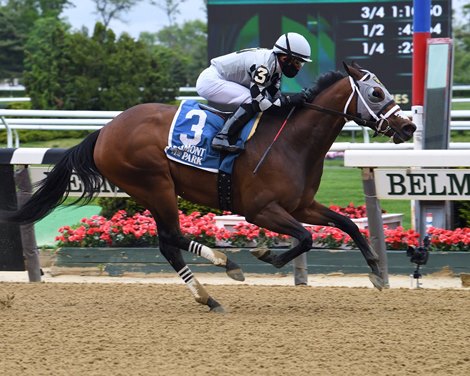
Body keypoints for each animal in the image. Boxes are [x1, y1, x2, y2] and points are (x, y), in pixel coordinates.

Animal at [2, 64, 414, 312]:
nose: (408, 127)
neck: (291, 142)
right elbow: (306, 238)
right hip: (155, 184)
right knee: (171, 237)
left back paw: (208, 294)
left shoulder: (300, 205)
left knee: (169, 243)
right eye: (376, 94)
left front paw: (376, 271)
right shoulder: (261, 210)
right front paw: (267, 255)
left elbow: (345, 225)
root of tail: (105, 131)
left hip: (152, 190)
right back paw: (224, 263)